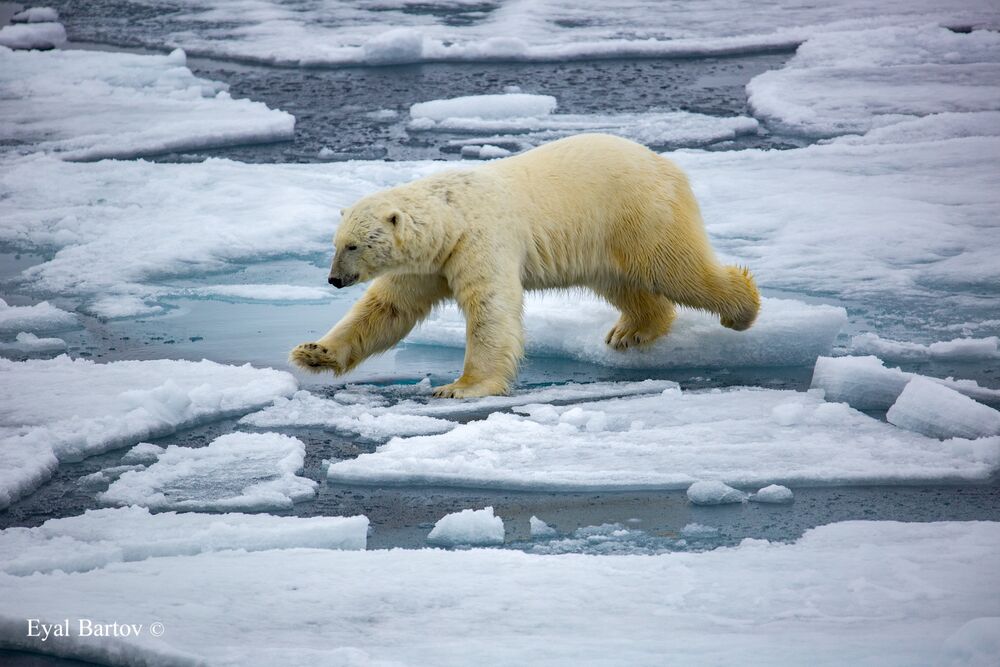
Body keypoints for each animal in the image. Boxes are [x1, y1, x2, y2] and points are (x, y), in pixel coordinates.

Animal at [290, 134, 756, 400]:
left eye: (353, 245)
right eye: (335, 244)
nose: (334, 279)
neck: (452, 215)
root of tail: (667, 164)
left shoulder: (480, 240)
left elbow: (490, 311)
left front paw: (460, 388)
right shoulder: (428, 264)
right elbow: (387, 309)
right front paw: (313, 353)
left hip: (637, 213)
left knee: (675, 269)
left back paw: (742, 310)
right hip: (606, 239)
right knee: (625, 284)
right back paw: (631, 331)